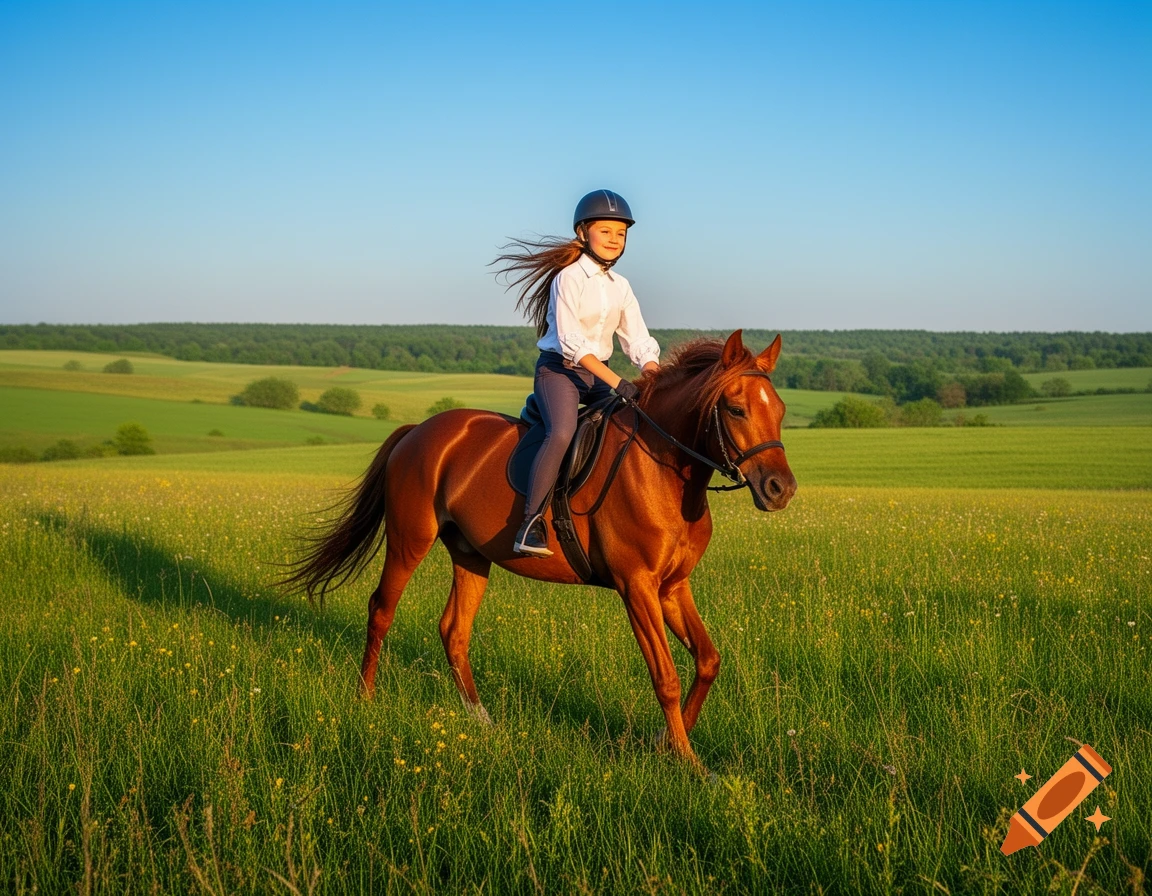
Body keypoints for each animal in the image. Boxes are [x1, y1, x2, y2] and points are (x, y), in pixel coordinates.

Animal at [284, 329, 796, 768]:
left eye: (781, 409)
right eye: (735, 409)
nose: (781, 489)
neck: (665, 472)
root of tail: (418, 430)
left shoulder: (672, 587)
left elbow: (707, 662)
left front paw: (664, 744)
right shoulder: (637, 588)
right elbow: (666, 677)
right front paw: (687, 761)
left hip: (472, 555)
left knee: (454, 631)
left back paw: (481, 720)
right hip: (410, 541)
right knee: (381, 610)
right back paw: (366, 700)